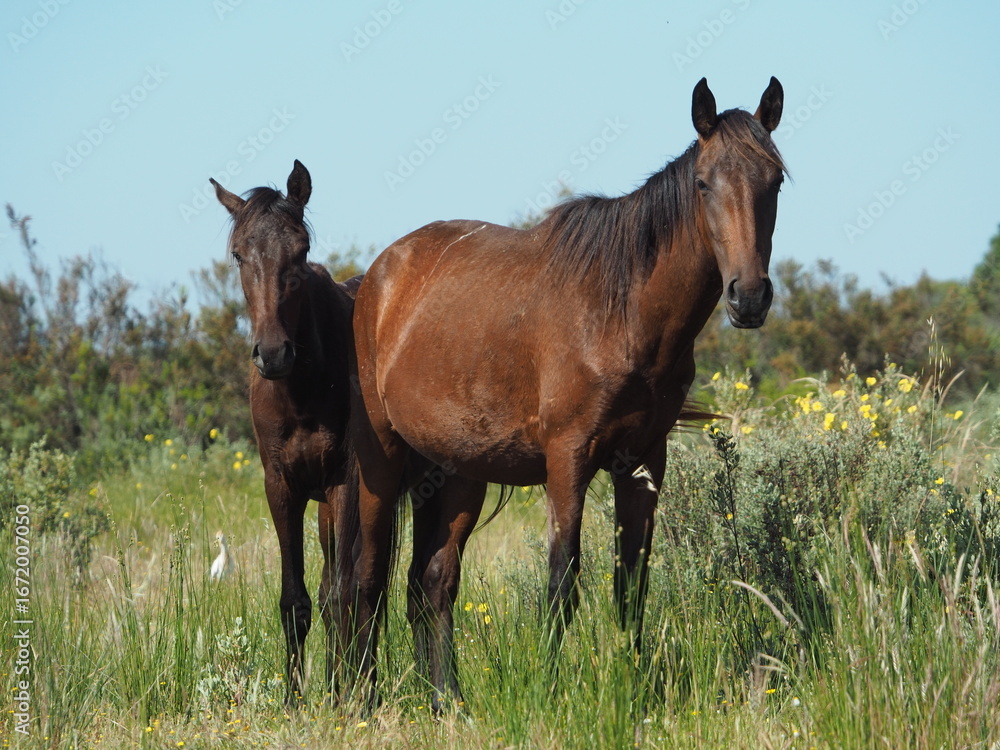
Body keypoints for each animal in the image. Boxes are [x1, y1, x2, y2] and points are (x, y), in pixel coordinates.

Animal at [211, 161, 361, 704]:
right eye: (239, 253)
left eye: (302, 250)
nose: (273, 353)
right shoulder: (281, 487)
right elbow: (295, 600)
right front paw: (295, 702)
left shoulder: (345, 482)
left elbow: (340, 595)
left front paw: (341, 696)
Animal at [348, 77, 787, 709]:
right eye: (704, 183)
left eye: (774, 181)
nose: (748, 297)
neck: (622, 313)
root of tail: (377, 277)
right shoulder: (568, 459)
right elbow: (561, 583)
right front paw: (552, 693)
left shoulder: (643, 462)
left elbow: (632, 582)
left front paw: (635, 689)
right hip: (381, 461)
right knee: (367, 576)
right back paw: (361, 698)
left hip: (457, 473)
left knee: (431, 583)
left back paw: (446, 701)